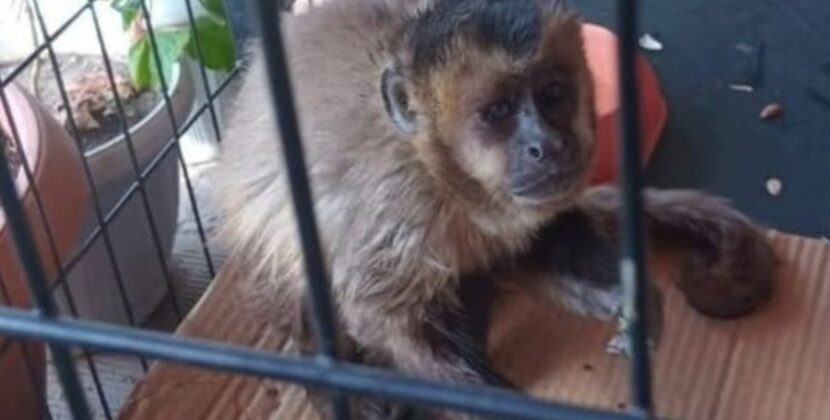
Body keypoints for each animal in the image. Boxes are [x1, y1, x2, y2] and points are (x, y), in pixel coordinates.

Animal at [211, 0, 775, 418]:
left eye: (552, 94)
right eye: (498, 112)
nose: (546, 145)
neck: (443, 180)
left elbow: (544, 236)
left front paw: (627, 300)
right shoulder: (393, 207)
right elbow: (381, 317)